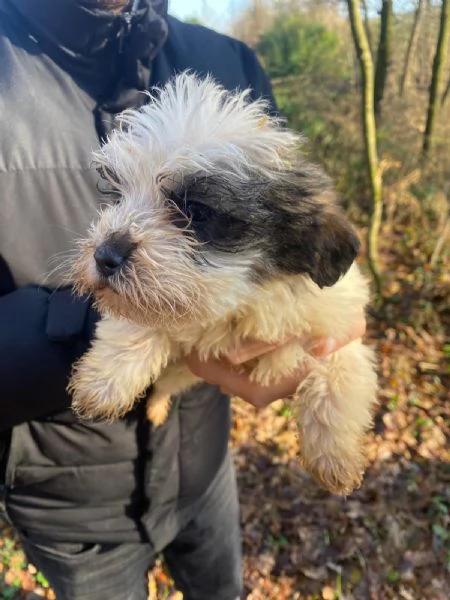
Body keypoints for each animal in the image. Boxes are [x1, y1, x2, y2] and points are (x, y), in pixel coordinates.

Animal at [68, 74, 378, 496]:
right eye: (117, 194)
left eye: (197, 212)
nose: (104, 256)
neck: (241, 302)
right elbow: (137, 324)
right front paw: (104, 383)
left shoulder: (336, 330)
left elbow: (338, 382)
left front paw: (335, 457)